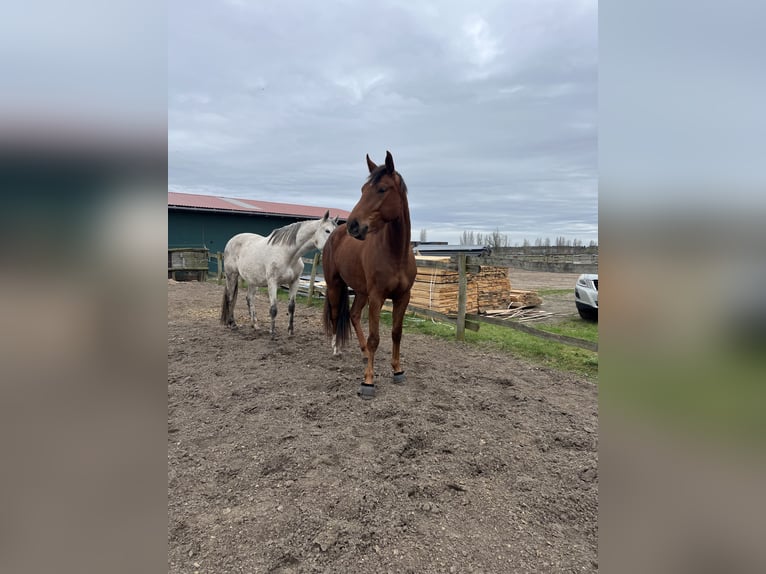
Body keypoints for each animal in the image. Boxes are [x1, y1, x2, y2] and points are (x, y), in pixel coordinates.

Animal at [326, 151, 420, 398]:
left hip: (361, 291)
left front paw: (397, 370)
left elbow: (396, 333)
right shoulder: (377, 296)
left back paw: (364, 353)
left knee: (353, 315)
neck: (395, 253)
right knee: (335, 314)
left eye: (382, 189)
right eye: (362, 189)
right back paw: (336, 349)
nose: (353, 225)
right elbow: (375, 338)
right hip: (334, 285)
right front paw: (368, 381)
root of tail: (335, 233)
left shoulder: (402, 297)